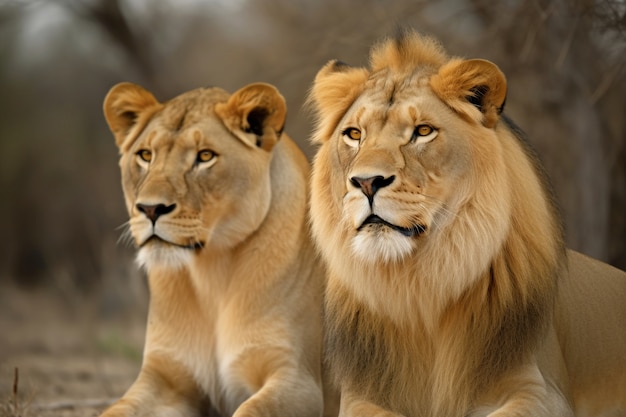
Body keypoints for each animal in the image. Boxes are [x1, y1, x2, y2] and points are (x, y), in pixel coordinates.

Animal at [100, 81, 330, 416]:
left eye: (205, 156)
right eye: (145, 155)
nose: (150, 209)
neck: (211, 272)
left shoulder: (300, 380)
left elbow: (250, 410)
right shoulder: (164, 376)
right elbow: (114, 410)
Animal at [306, 30, 624, 416]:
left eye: (423, 131)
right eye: (354, 134)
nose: (366, 182)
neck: (416, 285)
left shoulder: (541, 387)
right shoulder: (362, 394)